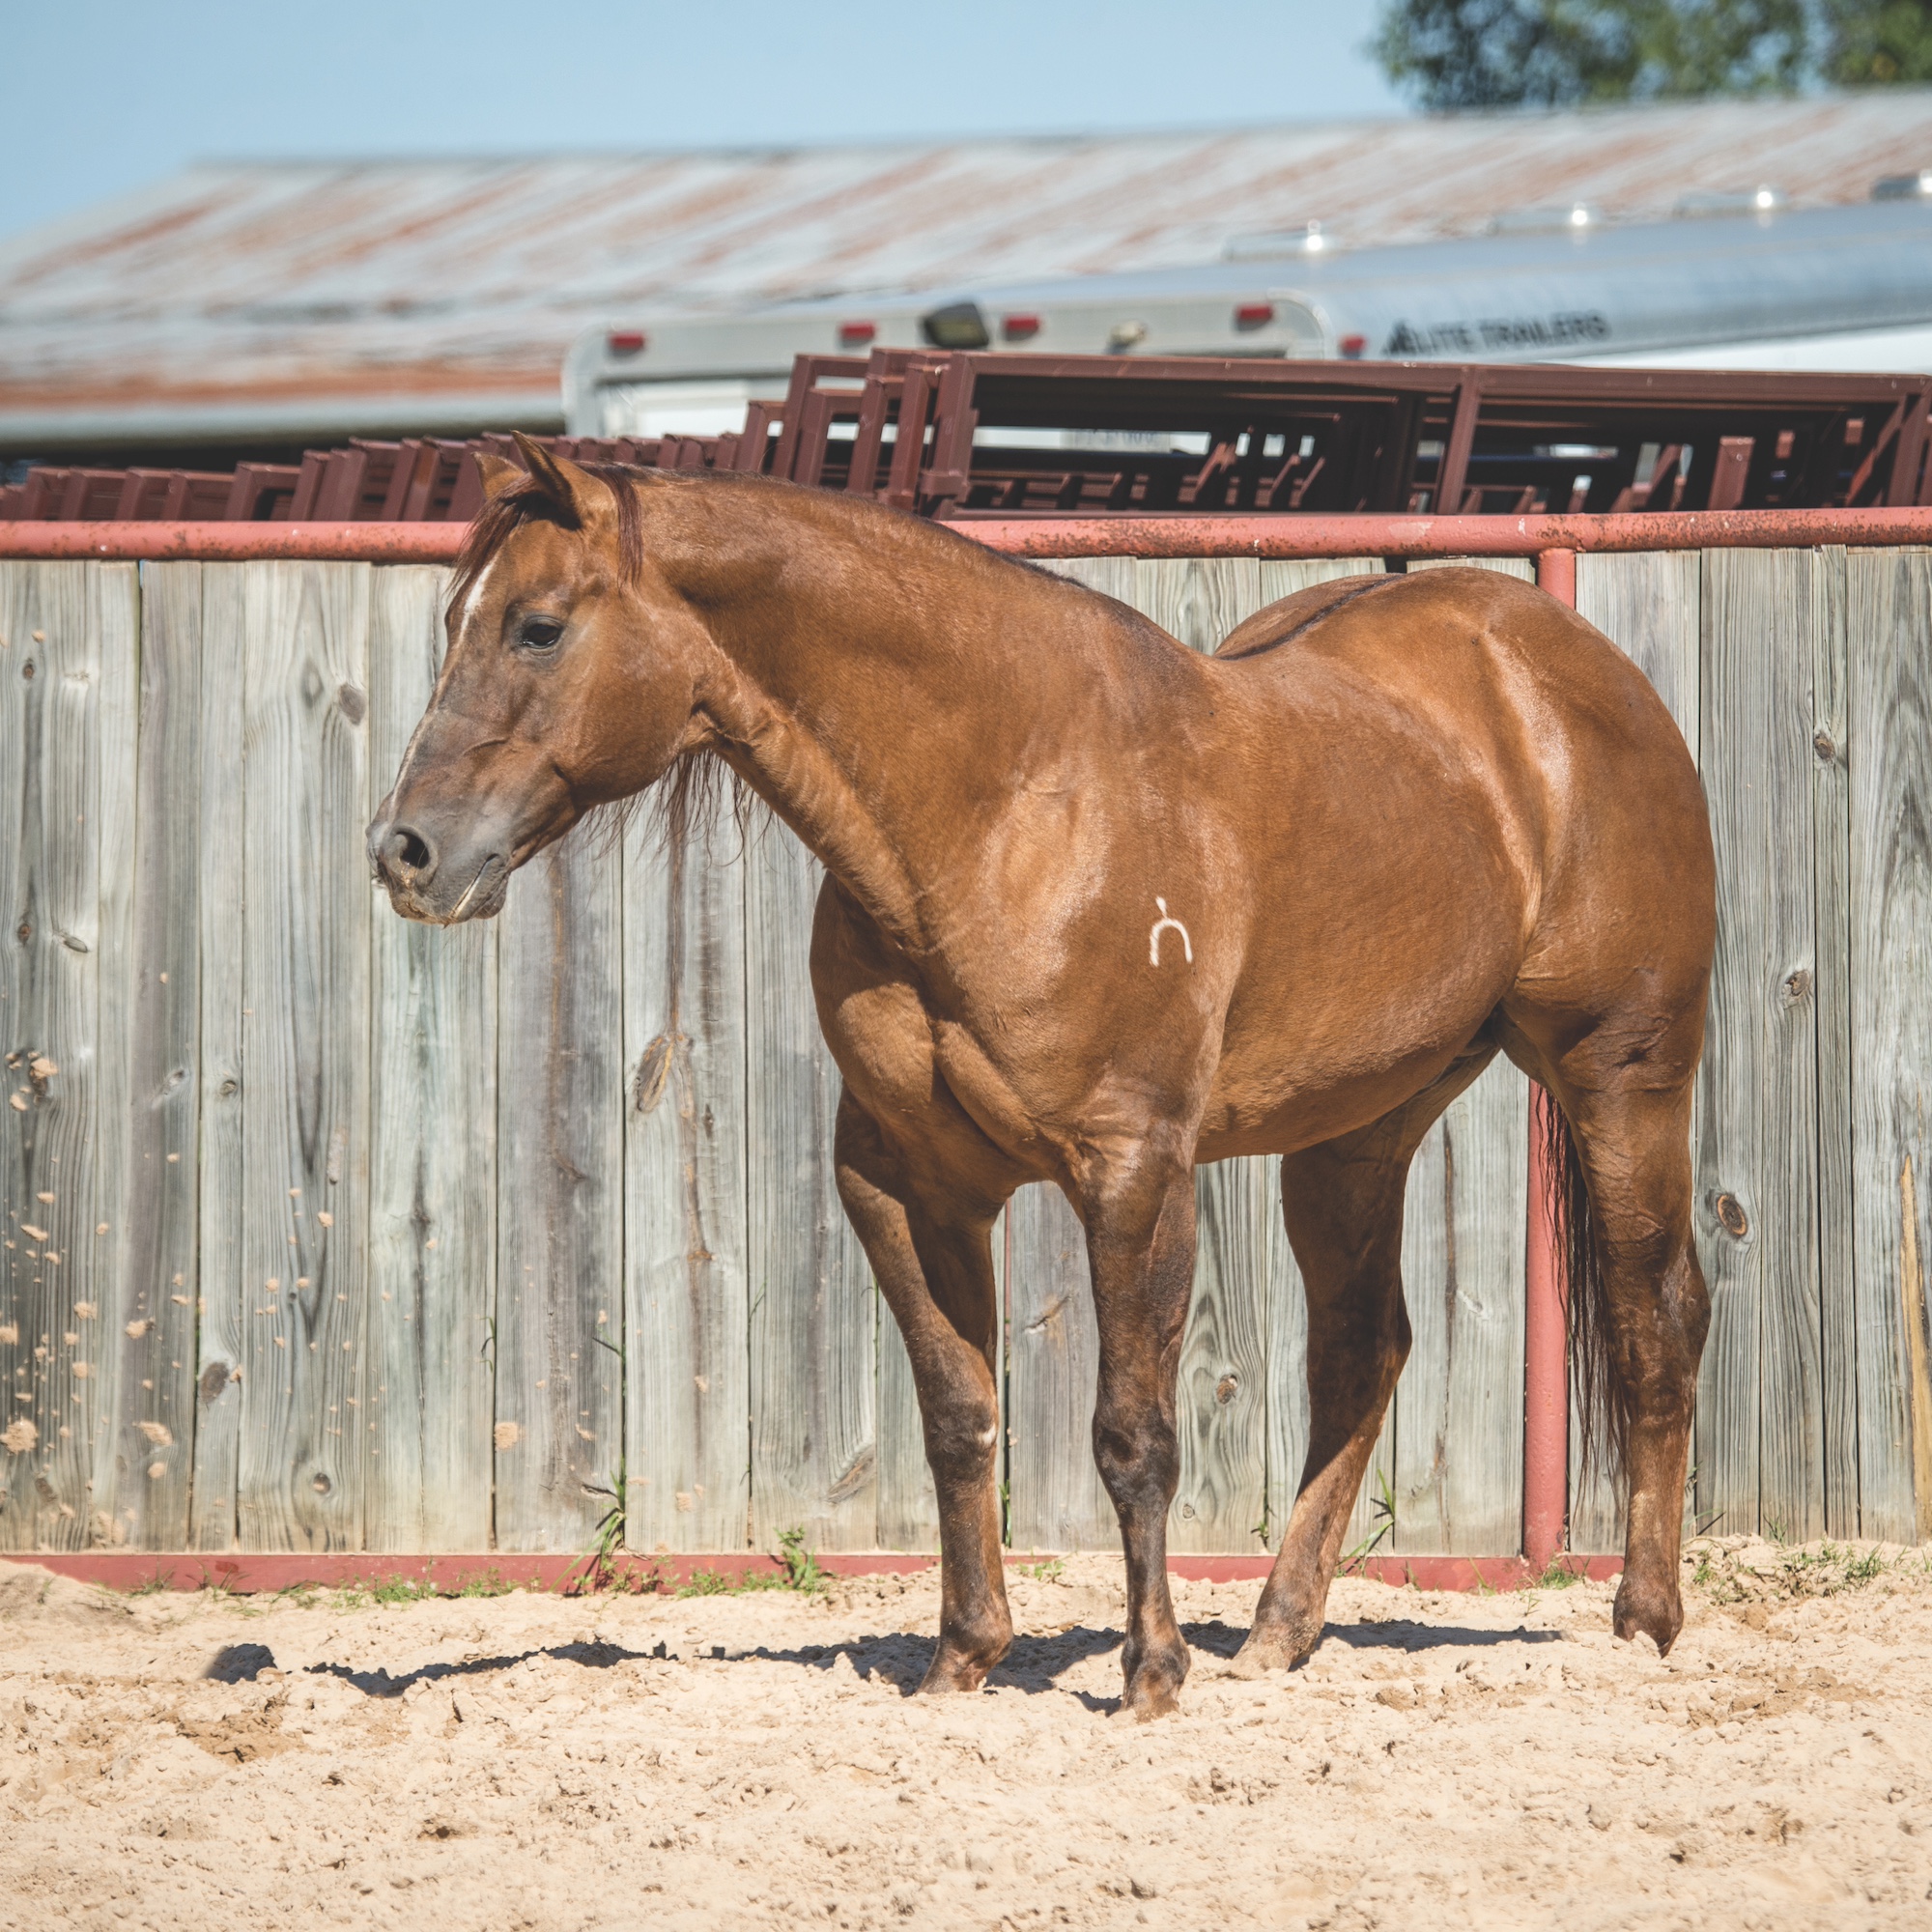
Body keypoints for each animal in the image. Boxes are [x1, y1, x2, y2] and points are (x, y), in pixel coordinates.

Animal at [367, 435, 1715, 1720]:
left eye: (538, 625)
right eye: (456, 621)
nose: (406, 849)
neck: (1005, 810)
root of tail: (1562, 663)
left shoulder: (1132, 1170)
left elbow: (1133, 1432)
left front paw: (1150, 1672)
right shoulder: (904, 1183)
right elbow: (958, 1419)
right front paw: (963, 1655)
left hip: (1621, 1074)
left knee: (1656, 1315)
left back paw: (1644, 1619)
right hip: (1357, 1129)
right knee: (1359, 1350)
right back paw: (1277, 1631)